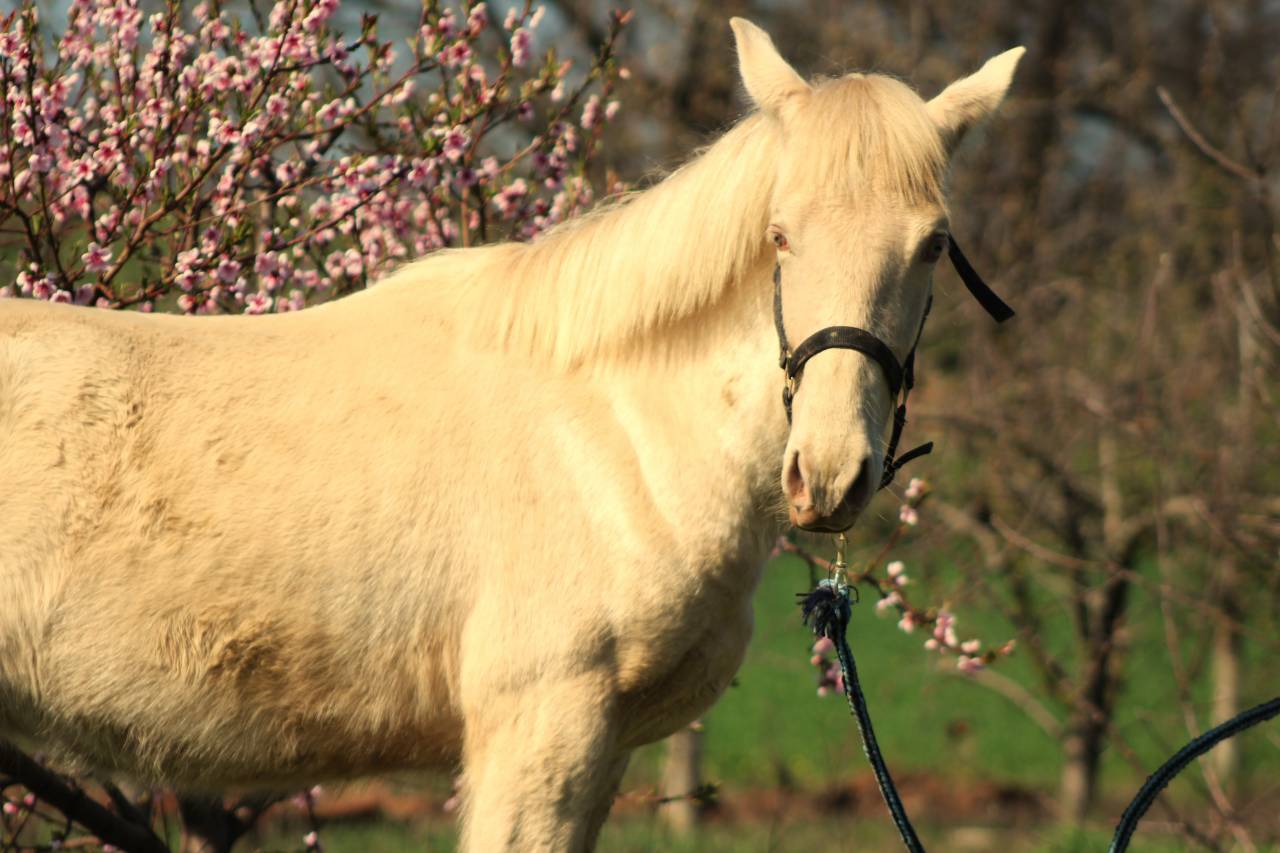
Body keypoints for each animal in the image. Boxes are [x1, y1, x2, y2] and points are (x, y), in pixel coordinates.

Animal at [0, 18, 1022, 850]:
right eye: (780, 236)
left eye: (932, 245)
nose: (833, 473)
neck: (611, 433)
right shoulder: (542, 723)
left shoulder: (600, 745)